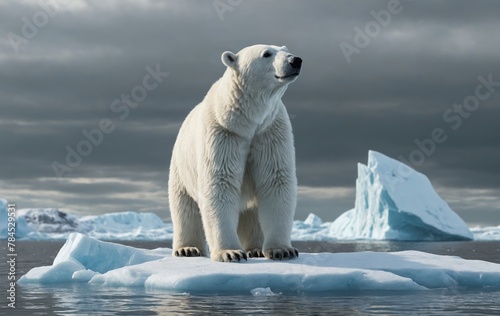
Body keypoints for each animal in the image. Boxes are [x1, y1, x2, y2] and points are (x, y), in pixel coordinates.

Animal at [168, 43, 302, 262]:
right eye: (267, 54)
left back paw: (255, 248)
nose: (295, 60)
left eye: (285, 49)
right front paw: (230, 252)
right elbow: (220, 183)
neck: (248, 123)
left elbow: (276, 180)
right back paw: (188, 249)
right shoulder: (224, 134)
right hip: (181, 168)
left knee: (251, 212)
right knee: (185, 209)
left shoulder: (270, 132)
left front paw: (282, 250)